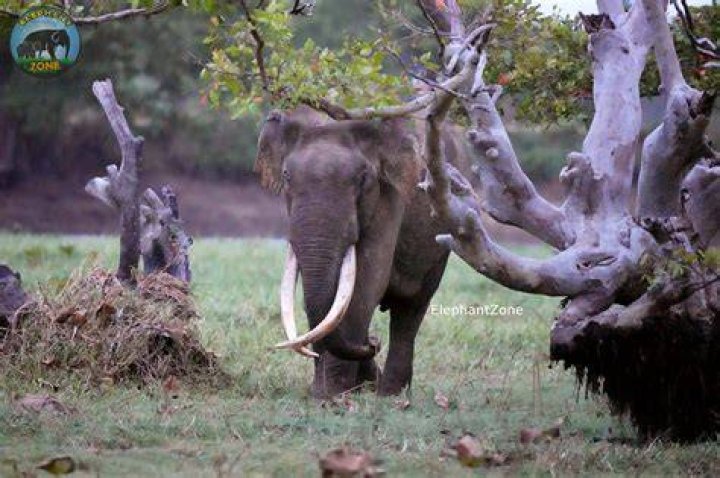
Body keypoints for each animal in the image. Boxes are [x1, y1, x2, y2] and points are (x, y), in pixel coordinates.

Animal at [255, 107, 471, 398]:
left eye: (362, 179)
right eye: (287, 176)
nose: (373, 343)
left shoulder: (390, 195)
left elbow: (368, 279)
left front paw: (332, 395)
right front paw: (323, 392)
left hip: (442, 235)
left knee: (410, 310)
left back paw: (390, 393)